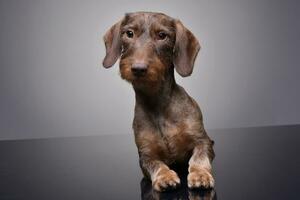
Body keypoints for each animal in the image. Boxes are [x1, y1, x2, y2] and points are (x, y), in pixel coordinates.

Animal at [102, 11, 214, 192]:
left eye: (162, 35)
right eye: (129, 33)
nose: (138, 68)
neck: (157, 102)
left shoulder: (202, 140)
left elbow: (199, 157)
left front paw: (200, 175)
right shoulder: (145, 155)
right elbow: (156, 164)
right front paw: (165, 176)